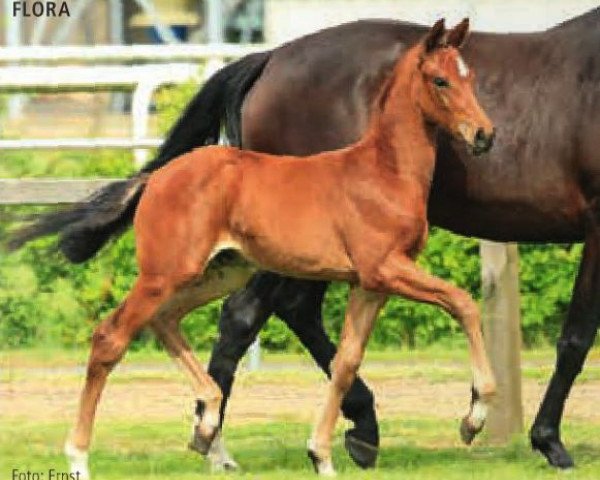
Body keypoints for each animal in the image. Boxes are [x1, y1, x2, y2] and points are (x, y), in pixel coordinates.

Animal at [65, 18, 496, 476]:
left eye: (469, 76)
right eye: (440, 80)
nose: (484, 135)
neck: (385, 172)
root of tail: (157, 178)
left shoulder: (370, 284)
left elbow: (346, 362)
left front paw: (321, 455)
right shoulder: (385, 268)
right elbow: (463, 303)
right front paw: (474, 416)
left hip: (222, 270)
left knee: (165, 320)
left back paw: (208, 424)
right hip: (163, 273)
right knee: (110, 337)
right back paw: (79, 457)